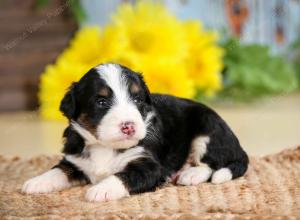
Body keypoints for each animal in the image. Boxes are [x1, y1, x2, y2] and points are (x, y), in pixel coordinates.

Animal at [21, 63, 248, 201]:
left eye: (137, 99)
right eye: (101, 101)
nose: (128, 126)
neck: (105, 147)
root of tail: (239, 146)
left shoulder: (149, 166)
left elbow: (124, 176)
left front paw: (100, 189)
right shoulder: (75, 160)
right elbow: (59, 170)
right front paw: (36, 182)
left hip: (208, 130)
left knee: (211, 164)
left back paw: (190, 174)